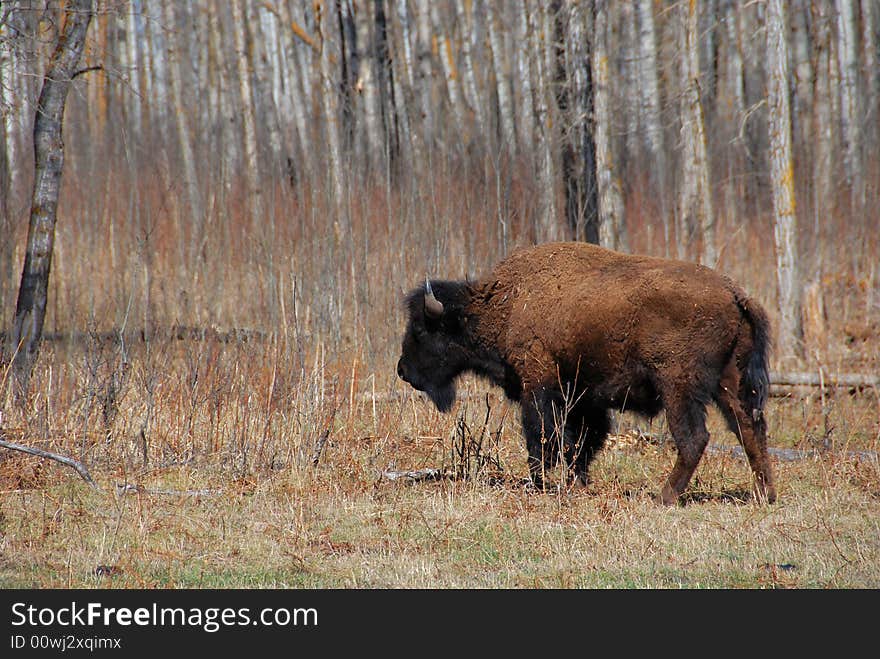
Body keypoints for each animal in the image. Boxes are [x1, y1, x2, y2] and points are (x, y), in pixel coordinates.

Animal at [396, 242, 772, 506]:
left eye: (421, 329)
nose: (402, 370)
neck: (506, 303)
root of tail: (737, 294)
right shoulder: (584, 397)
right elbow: (582, 442)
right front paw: (577, 481)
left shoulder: (540, 382)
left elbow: (543, 434)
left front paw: (541, 481)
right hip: (730, 383)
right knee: (750, 429)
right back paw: (764, 494)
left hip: (678, 387)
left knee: (695, 438)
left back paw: (663, 496)